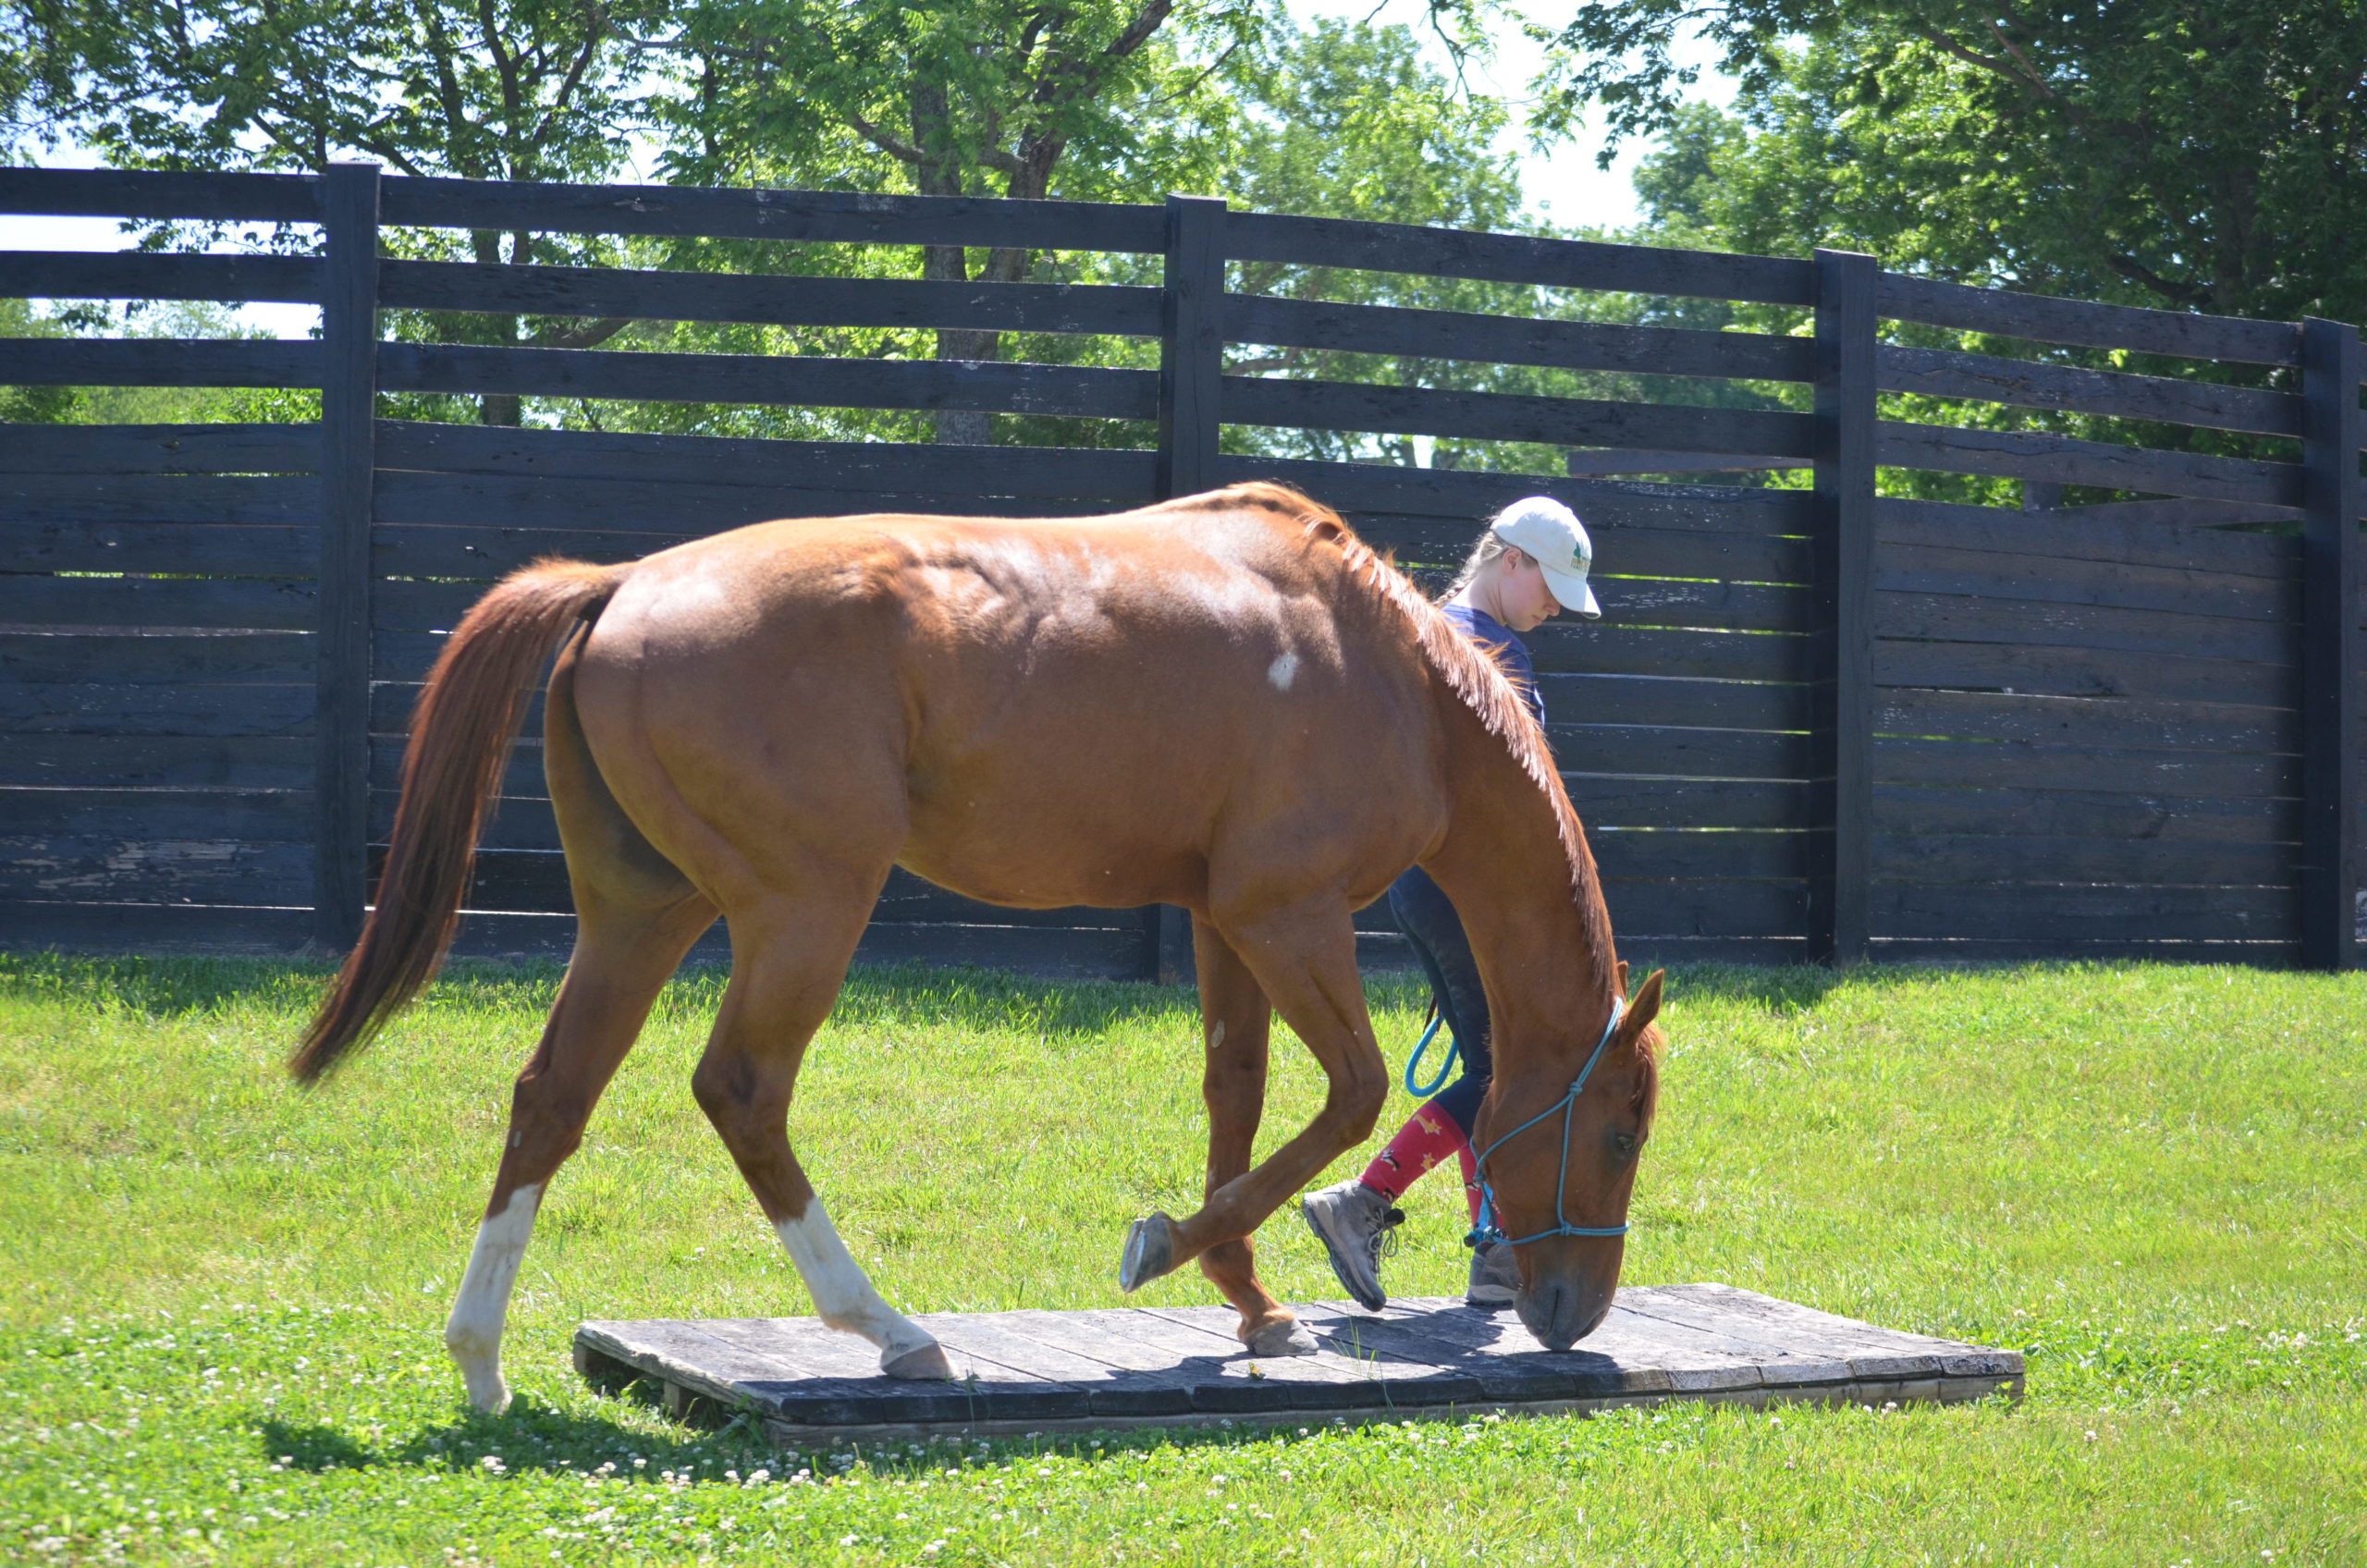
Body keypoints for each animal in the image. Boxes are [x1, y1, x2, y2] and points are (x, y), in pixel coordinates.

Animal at [291, 480, 1665, 1414]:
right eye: (1618, 1131)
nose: (1570, 1311)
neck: (1396, 679)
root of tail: (623, 582)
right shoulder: (1290, 913)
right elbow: (1352, 1095)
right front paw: (1170, 1247)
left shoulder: (1226, 918)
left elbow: (1239, 1091)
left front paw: (1250, 1298)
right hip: (805, 908)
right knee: (743, 1091)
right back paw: (884, 1325)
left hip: (642, 915)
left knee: (551, 1096)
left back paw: (480, 1362)